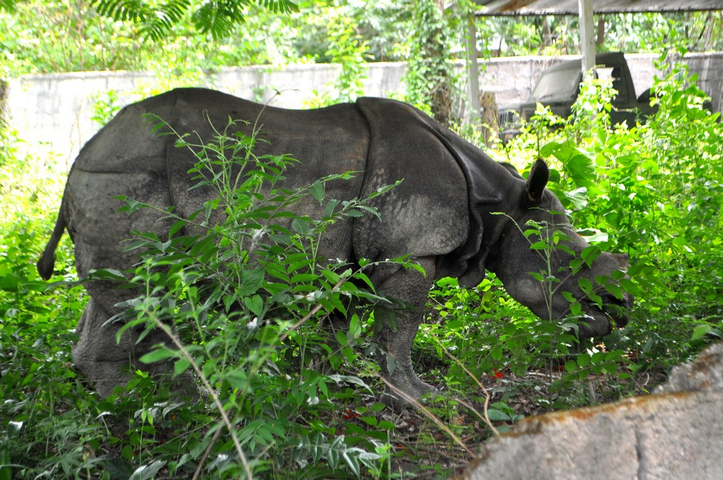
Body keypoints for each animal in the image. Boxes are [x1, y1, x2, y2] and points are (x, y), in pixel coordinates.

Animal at [38, 88, 631, 403]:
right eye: (573, 264)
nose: (619, 311)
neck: (501, 208)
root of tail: (78, 160)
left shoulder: (342, 260)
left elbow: (339, 328)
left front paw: (333, 386)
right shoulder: (407, 252)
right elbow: (400, 326)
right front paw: (419, 396)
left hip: (110, 182)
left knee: (114, 300)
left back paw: (144, 404)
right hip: (128, 184)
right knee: (150, 294)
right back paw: (179, 403)